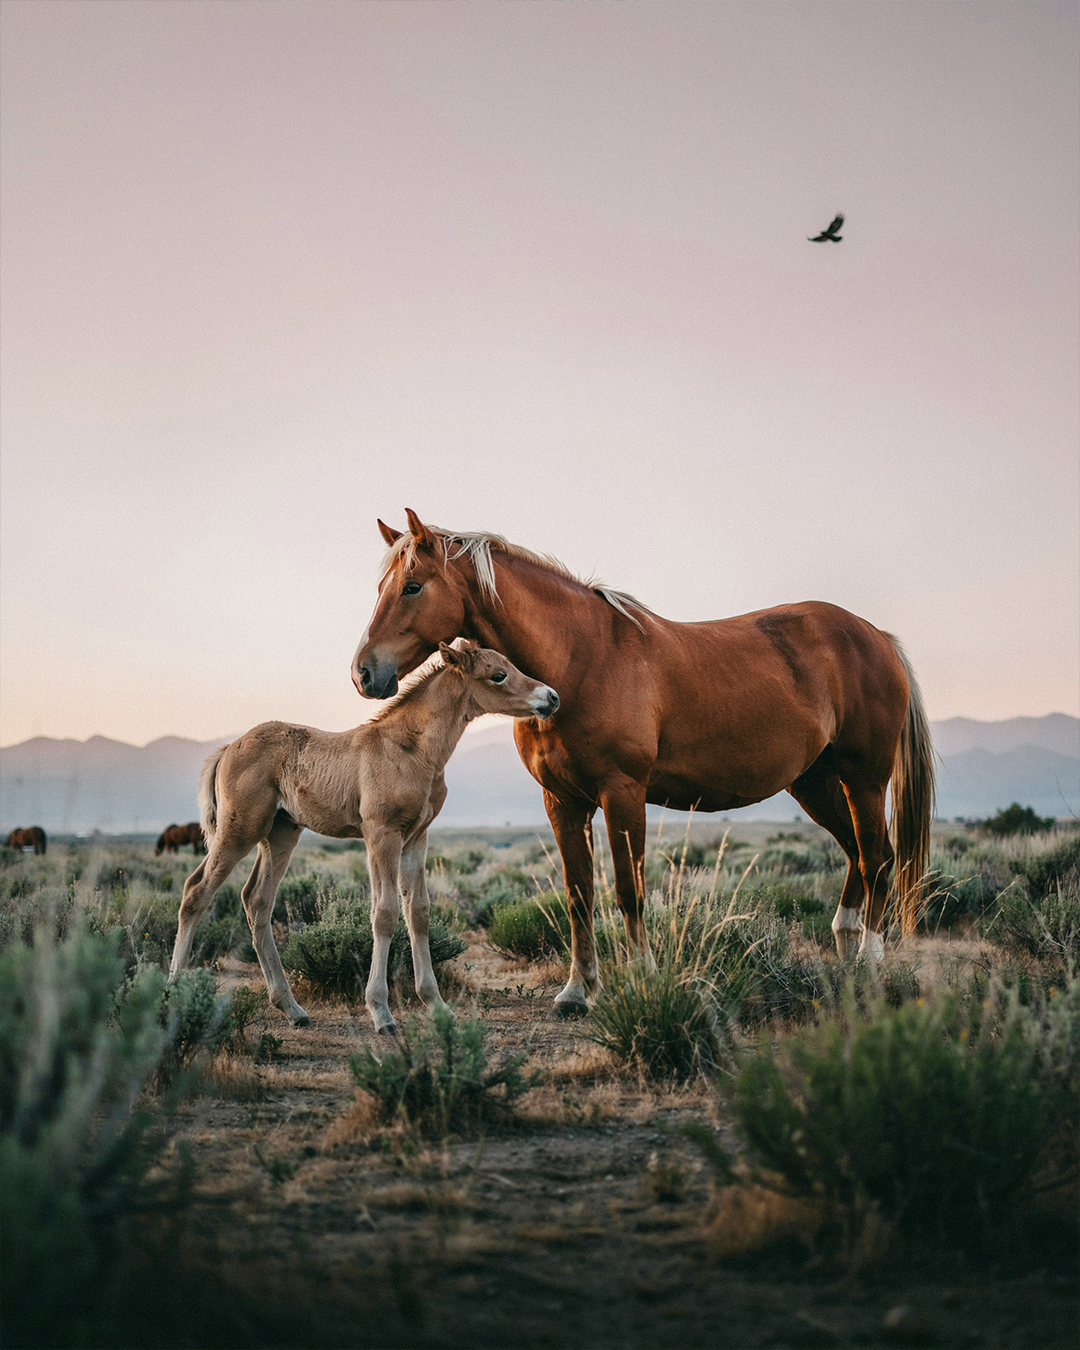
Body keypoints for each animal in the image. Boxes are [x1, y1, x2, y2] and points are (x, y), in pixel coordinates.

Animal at [169, 641, 558, 1032]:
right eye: (499, 675)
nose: (551, 697)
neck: (412, 750)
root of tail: (227, 749)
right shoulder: (381, 833)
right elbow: (384, 913)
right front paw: (381, 1012)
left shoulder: (416, 837)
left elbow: (418, 911)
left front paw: (436, 1005)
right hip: (240, 829)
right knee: (196, 891)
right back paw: (174, 992)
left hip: (280, 833)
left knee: (256, 900)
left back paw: (292, 1008)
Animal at [352, 510, 936, 1016]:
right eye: (379, 589)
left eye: (412, 586)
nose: (364, 673)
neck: (579, 658)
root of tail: (875, 637)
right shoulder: (562, 801)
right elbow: (578, 895)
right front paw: (577, 991)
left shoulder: (622, 792)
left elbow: (629, 893)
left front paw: (643, 977)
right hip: (814, 783)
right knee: (859, 855)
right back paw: (847, 955)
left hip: (864, 778)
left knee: (877, 858)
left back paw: (870, 962)